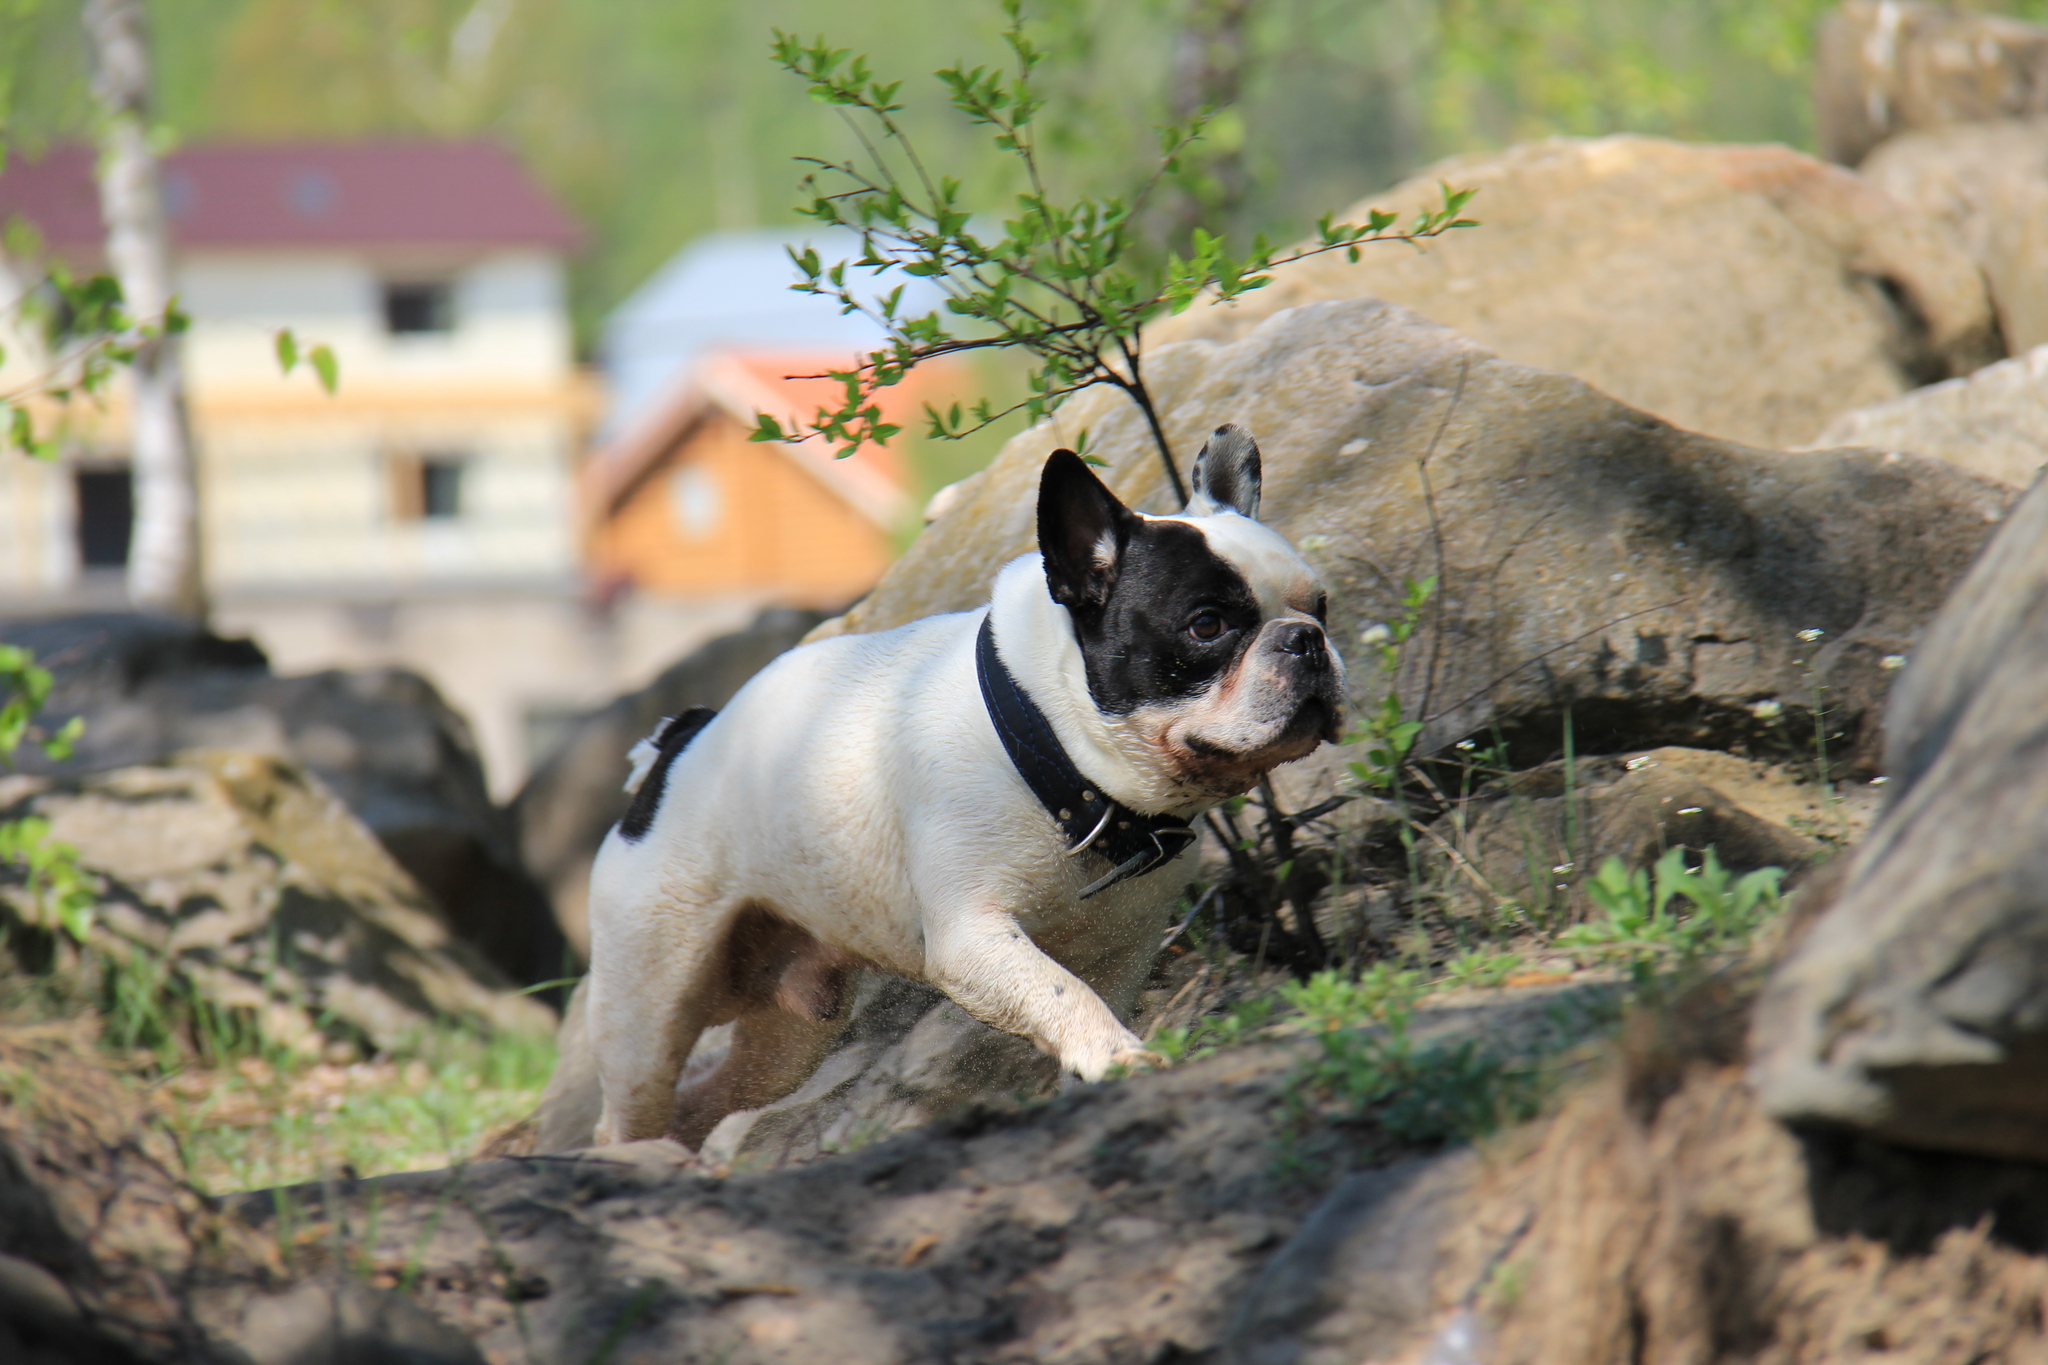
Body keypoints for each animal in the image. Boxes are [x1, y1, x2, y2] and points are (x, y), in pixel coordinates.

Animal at [577, 427, 1343, 1154]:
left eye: (1322, 605)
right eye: (1207, 625)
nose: (1306, 640)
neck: (1057, 755)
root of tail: (675, 745)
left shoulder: (1125, 947)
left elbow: (1087, 998)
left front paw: (1093, 1076)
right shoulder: (973, 938)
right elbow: (1062, 992)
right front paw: (1120, 1058)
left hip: (789, 1036)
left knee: (711, 1099)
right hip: (649, 1009)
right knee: (629, 1109)